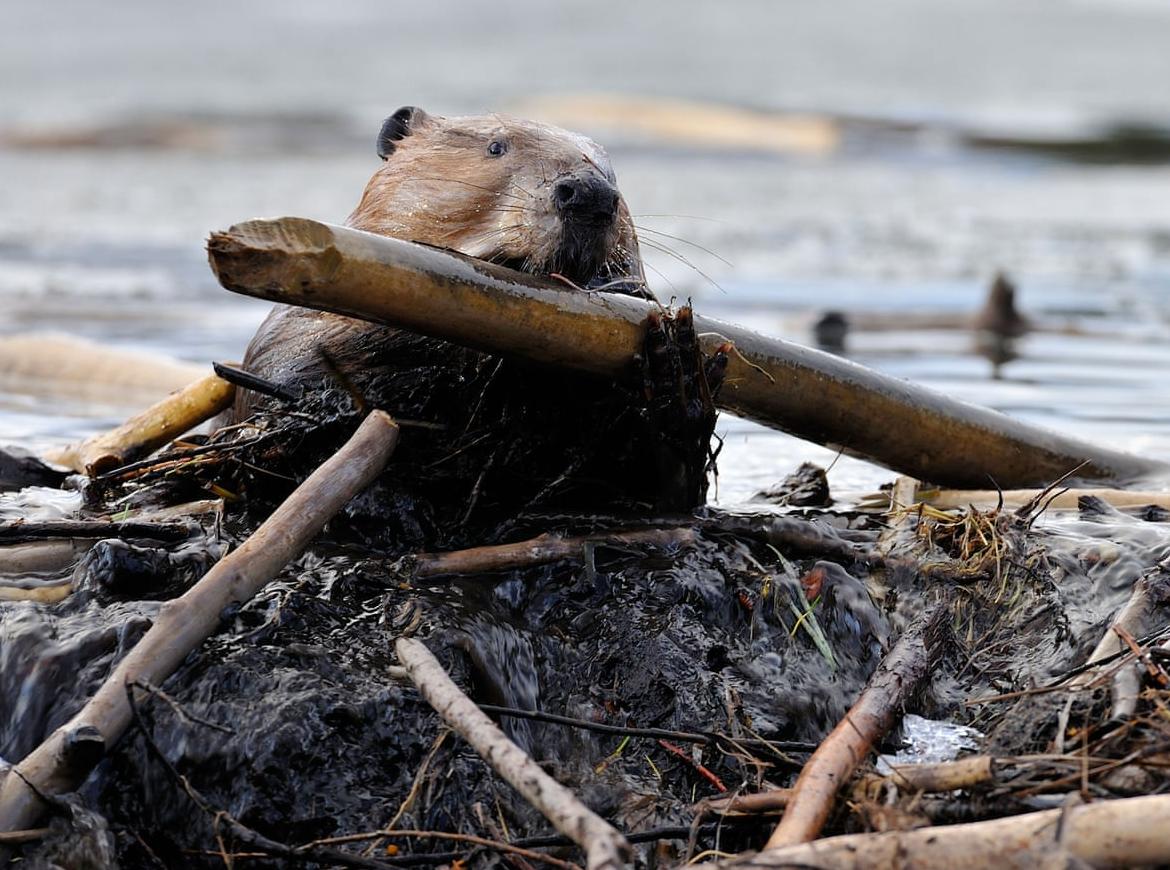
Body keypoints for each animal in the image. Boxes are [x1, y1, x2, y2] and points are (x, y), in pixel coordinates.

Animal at [228, 105, 720, 547]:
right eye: (496, 147)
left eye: (608, 168)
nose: (589, 193)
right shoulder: (289, 344)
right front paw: (394, 509)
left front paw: (669, 357)